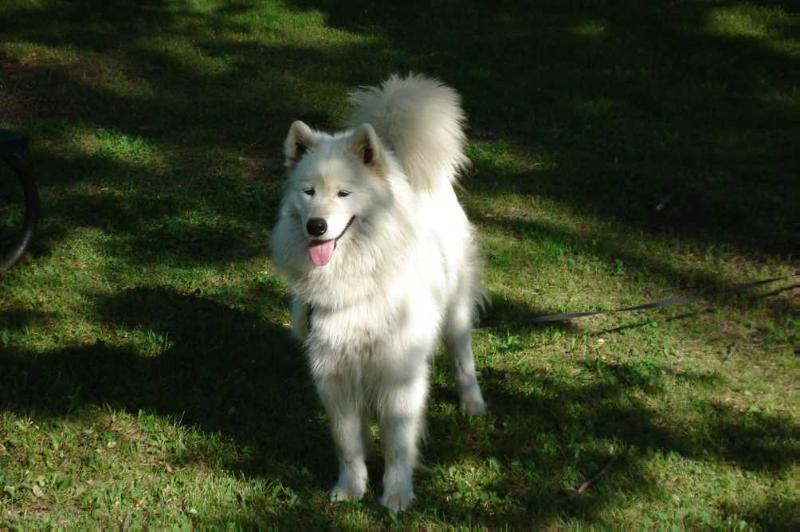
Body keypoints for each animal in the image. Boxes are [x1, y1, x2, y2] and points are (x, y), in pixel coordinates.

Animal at [270, 72, 488, 510]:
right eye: (308, 192)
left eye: (343, 194)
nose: (316, 226)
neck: (356, 277)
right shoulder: (333, 372)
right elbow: (348, 443)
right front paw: (350, 488)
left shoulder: (399, 372)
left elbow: (399, 443)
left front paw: (397, 493)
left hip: (456, 310)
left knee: (462, 355)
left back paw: (472, 402)